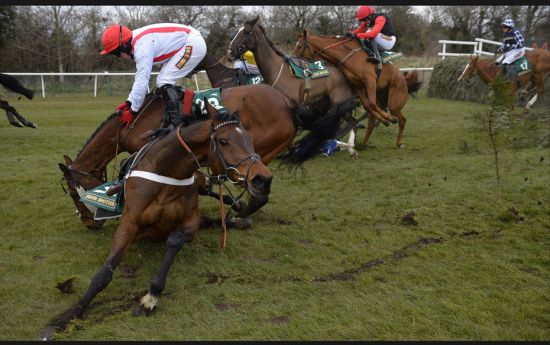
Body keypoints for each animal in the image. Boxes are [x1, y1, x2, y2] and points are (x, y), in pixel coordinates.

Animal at [39, 101, 272, 338]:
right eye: (224, 141)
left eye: (250, 138)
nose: (263, 179)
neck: (167, 173)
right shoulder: (129, 224)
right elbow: (104, 273)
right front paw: (69, 316)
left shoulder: (190, 223)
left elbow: (175, 240)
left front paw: (150, 298)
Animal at [294, 30, 422, 147]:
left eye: (299, 46)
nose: (293, 60)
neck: (346, 56)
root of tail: (403, 79)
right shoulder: (357, 86)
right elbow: (368, 105)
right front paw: (385, 119)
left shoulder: (370, 80)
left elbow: (371, 104)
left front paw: (387, 118)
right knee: (372, 121)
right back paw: (366, 142)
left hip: (394, 101)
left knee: (401, 119)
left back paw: (397, 139)